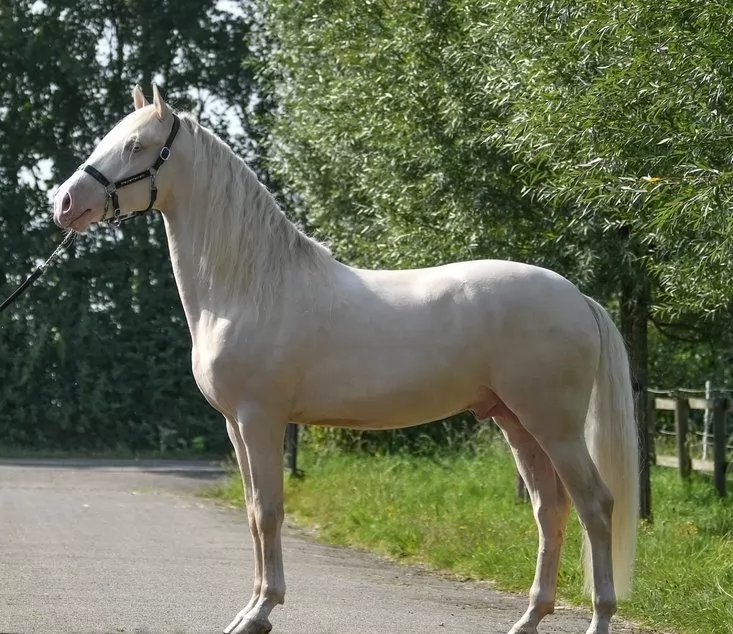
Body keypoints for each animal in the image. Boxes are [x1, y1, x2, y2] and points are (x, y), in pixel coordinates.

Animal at [52, 84, 639, 634]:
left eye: (136, 145)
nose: (64, 203)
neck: (249, 287)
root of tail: (577, 297)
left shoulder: (261, 419)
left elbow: (269, 511)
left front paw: (261, 611)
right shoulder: (236, 426)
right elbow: (252, 512)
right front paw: (249, 608)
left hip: (554, 425)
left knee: (596, 506)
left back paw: (600, 617)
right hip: (515, 422)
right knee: (550, 510)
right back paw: (530, 617)